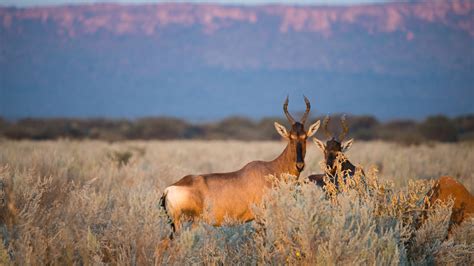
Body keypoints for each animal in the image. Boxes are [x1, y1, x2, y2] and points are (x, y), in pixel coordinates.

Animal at [161, 97, 320, 233]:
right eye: (291, 137)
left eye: (305, 137)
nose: (299, 165)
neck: (271, 169)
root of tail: (169, 189)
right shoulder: (262, 216)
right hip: (186, 224)